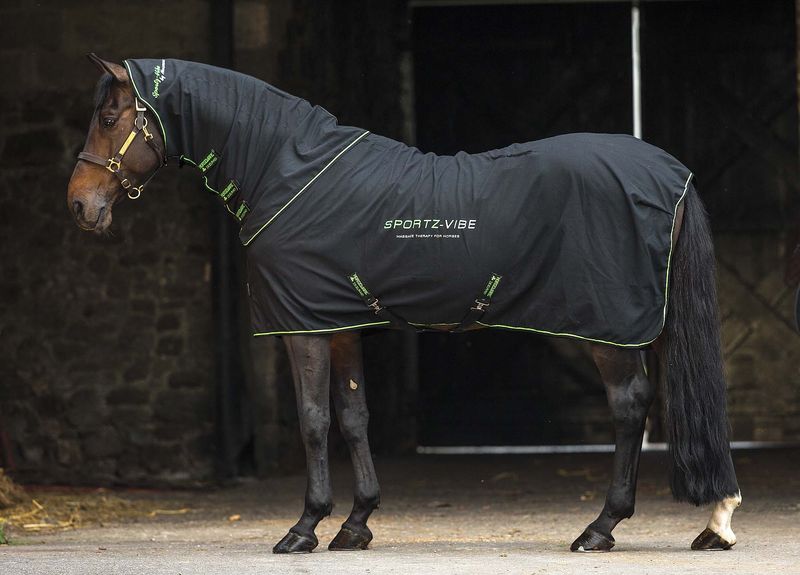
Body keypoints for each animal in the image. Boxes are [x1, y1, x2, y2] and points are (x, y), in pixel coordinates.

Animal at [67, 54, 742, 554]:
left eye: (109, 116)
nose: (80, 205)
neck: (289, 173)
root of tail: (669, 171)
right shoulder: (342, 326)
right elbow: (353, 418)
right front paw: (355, 524)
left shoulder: (304, 328)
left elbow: (314, 421)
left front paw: (303, 528)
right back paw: (714, 522)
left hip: (606, 327)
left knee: (631, 406)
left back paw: (600, 528)